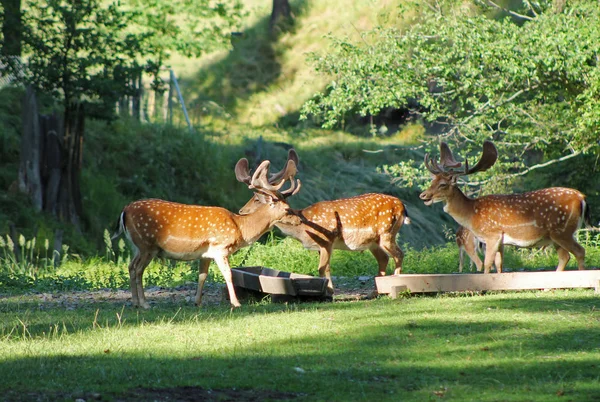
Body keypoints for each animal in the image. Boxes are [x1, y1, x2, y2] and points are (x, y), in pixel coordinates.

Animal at [110, 153, 302, 308]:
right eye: (287, 209)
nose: (299, 219)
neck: (240, 228)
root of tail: (124, 210)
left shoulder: (205, 254)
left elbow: (202, 275)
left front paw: (198, 302)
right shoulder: (220, 247)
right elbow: (228, 274)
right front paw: (236, 303)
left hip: (137, 246)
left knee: (130, 266)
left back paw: (136, 303)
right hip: (147, 244)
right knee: (137, 269)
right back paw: (143, 304)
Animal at [241, 149, 410, 294]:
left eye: (256, 199)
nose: (242, 211)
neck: (303, 229)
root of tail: (402, 206)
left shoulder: (327, 240)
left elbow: (323, 268)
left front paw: (330, 292)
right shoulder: (319, 246)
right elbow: (324, 268)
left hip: (387, 232)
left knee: (399, 255)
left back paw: (394, 283)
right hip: (374, 241)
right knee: (384, 258)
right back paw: (375, 292)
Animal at [420, 141, 588, 274]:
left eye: (443, 184)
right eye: (433, 181)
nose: (423, 195)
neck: (471, 213)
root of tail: (581, 197)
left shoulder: (491, 235)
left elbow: (487, 264)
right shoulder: (500, 240)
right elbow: (499, 265)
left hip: (562, 231)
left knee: (579, 251)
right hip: (555, 235)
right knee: (565, 257)